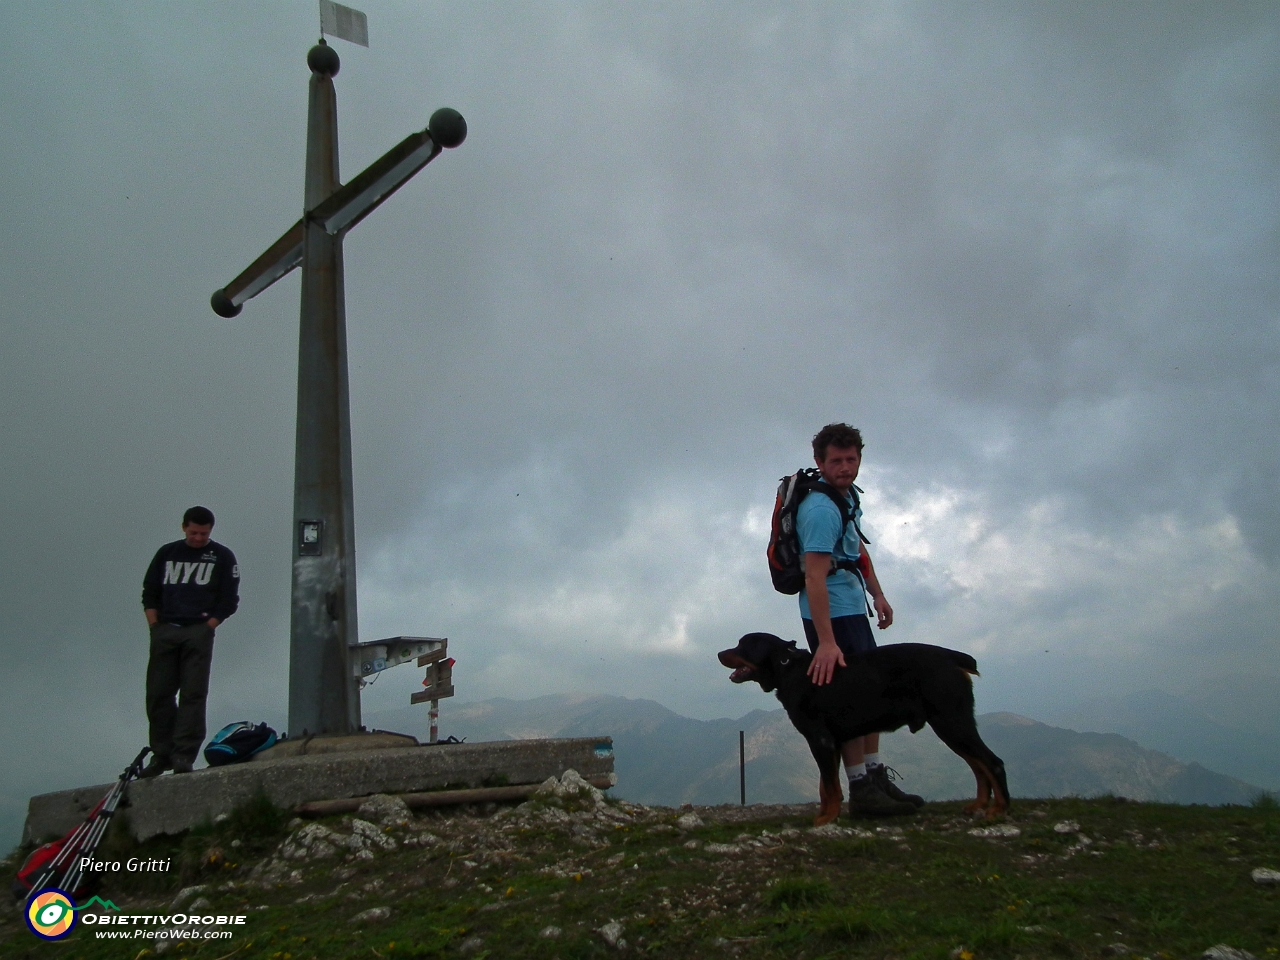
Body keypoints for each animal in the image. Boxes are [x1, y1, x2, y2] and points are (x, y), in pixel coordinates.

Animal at [721, 632, 1008, 829]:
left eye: (742, 644)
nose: (719, 654)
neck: (788, 667)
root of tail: (953, 657)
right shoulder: (832, 742)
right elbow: (825, 785)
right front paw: (825, 813)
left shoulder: (820, 739)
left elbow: (830, 785)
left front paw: (827, 817)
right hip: (953, 726)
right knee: (978, 766)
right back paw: (979, 804)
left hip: (952, 723)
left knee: (992, 763)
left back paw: (999, 809)